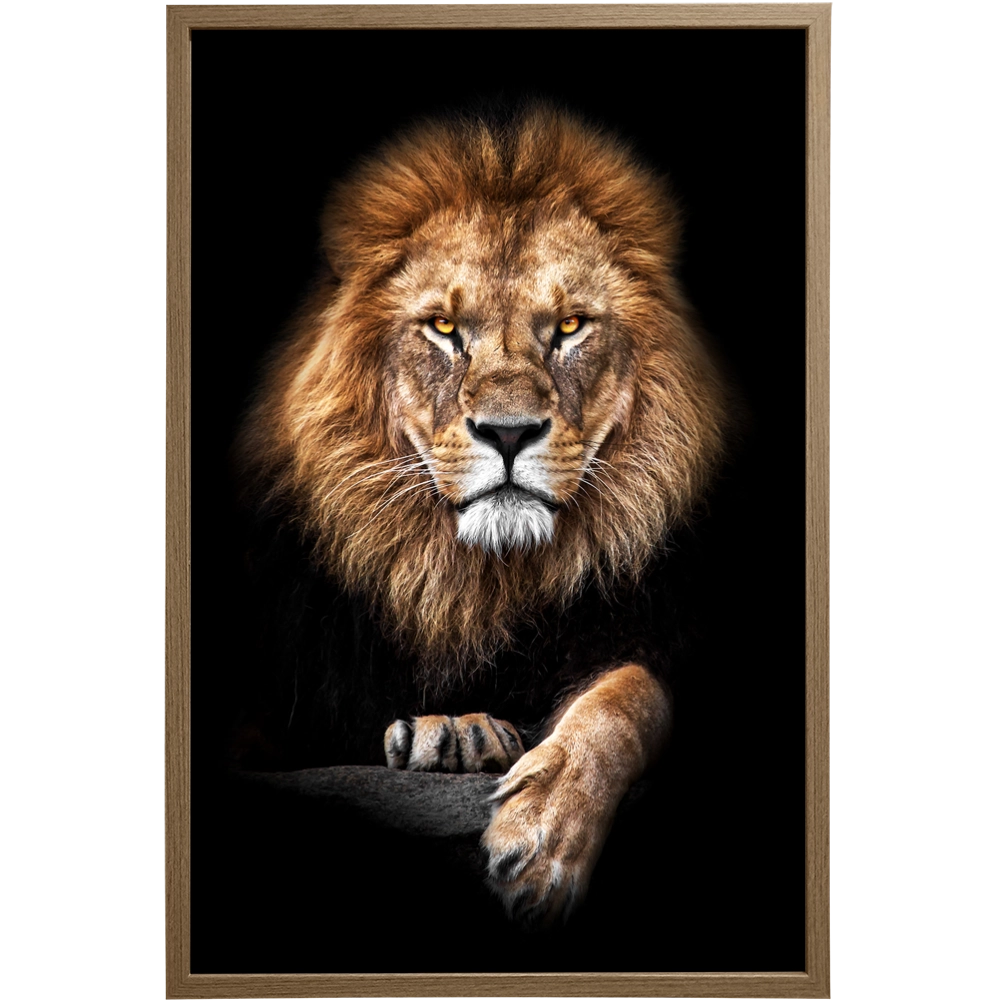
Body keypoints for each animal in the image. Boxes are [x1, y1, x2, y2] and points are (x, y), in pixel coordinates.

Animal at [235, 104, 729, 928]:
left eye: (570, 327)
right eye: (442, 329)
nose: (507, 432)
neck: (477, 581)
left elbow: (629, 696)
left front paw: (544, 836)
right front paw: (453, 733)